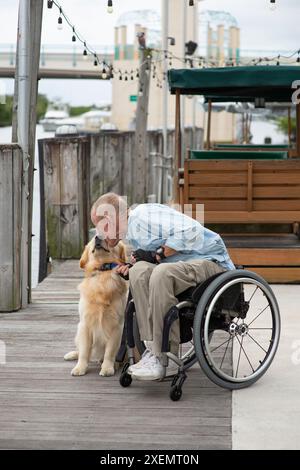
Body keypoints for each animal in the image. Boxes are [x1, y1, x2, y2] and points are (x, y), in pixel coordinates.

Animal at [64, 235, 127, 378]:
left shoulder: (117, 326)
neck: (103, 272)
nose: (98, 237)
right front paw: (80, 368)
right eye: (94, 237)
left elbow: (110, 351)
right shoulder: (85, 324)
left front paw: (107, 368)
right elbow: (84, 351)